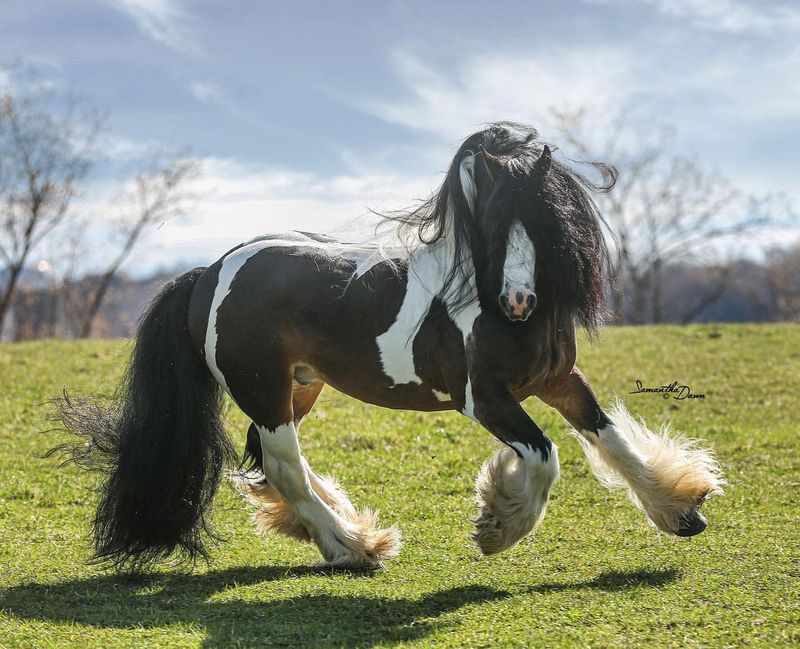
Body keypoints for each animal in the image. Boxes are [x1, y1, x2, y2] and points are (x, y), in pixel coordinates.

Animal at [53, 120, 720, 568]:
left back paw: (342, 533)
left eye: (542, 215)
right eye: (490, 222)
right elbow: (544, 457)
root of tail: (211, 270)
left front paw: (681, 510)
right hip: (262, 390)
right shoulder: (484, 398)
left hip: (300, 387)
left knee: (272, 465)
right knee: (283, 464)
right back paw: (351, 548)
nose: (518, 300)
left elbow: (611, 439)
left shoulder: (559, 382)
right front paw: (496, 525)